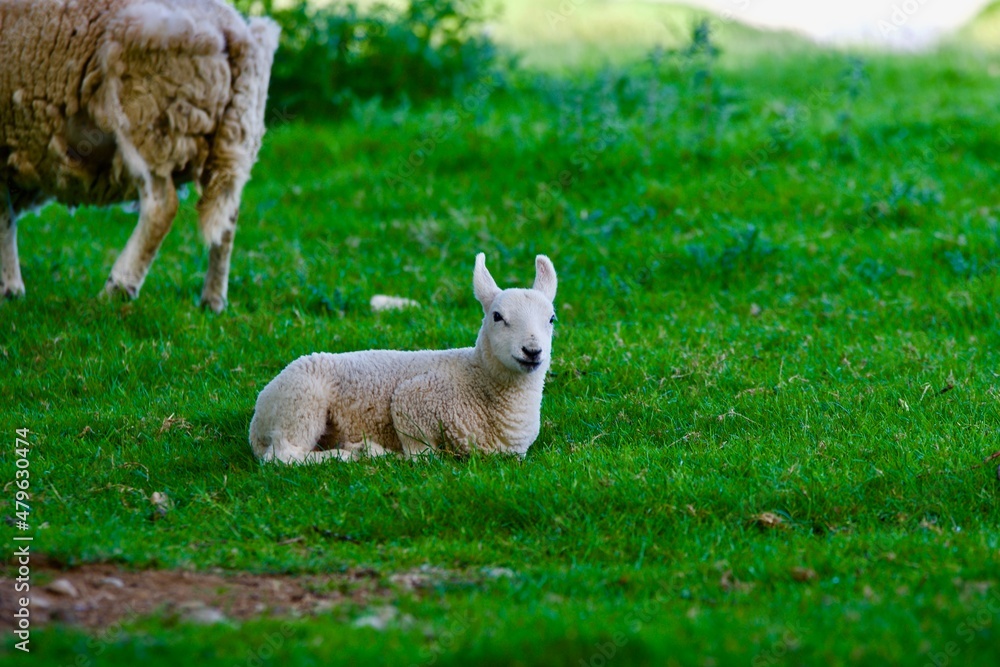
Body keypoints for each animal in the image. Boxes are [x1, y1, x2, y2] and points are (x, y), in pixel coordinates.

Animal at [0, 0, 280, 311]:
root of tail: (234, 31)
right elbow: (6, 215)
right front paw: (11, 288)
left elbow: (3, 217)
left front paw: (10, 289)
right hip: (236, 134)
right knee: (227, 217)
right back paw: (213, 301)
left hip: (148, 118)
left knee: (162, 206)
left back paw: (115, 290)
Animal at [249, 253, 559, 464]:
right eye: (497, 316)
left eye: (552, 319)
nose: (532, 351)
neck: (478, 378)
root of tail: (257, 420)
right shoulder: (412, 399)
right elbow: (421, 454)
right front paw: (384, 453)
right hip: (301, 401)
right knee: (283, 455)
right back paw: (351, 454)